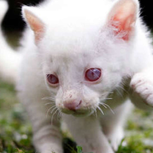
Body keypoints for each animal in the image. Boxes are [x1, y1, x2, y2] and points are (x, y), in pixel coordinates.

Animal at [0, 0, 153, 152]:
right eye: (52, 78)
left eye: (93, 73)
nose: (70, 104)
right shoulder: (74, 118)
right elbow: (93, 142)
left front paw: (145, 85)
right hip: (33, 92)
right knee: (44, 128)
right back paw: (50, 147)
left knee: (113, 119)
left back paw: (114, 137)